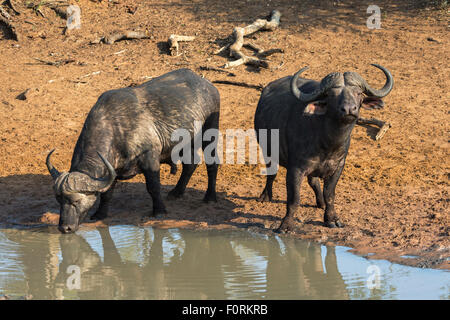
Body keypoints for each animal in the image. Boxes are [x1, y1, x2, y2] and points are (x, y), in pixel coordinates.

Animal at [46, 68, 221, 232]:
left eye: (76, 200)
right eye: (58, 199)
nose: (64, 227)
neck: (116, 127)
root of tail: (207, 85)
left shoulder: (150, 158)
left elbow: (153, 187)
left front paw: (159, 211)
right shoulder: (112, 166)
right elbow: (107, 193)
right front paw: (100, 214)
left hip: (209, 130)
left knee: (211, 163)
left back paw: (210, 196)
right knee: (191, 164)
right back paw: (177, 192)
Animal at [256, 63, 394, 231]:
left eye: (358, 93)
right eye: (332, 95)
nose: (349, 109)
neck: (328, 143)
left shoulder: (338, 167)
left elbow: (329, 194)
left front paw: (331, 219)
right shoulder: (295, 169)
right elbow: (294, 198)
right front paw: (286, 224)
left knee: (313, 181)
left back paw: (320, 202)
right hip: (266, 149)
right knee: (272, 173)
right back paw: (265, 196)